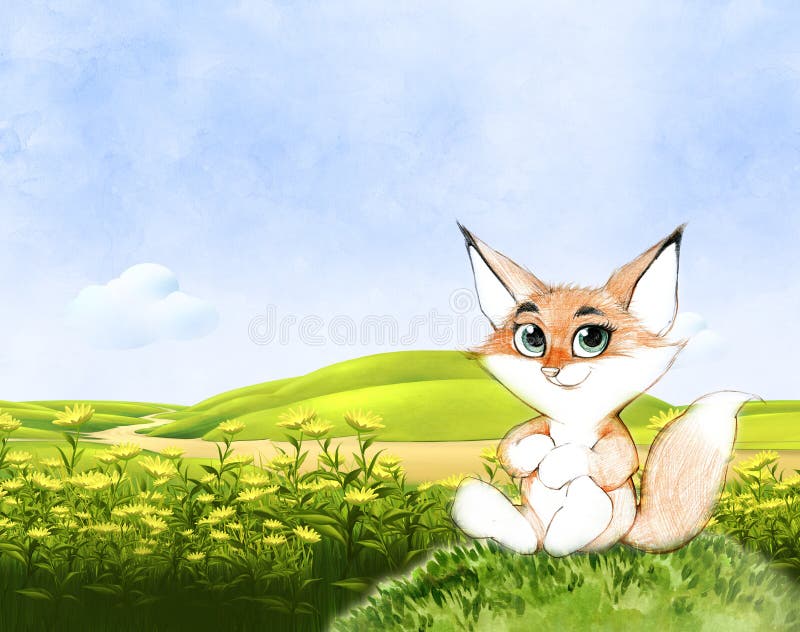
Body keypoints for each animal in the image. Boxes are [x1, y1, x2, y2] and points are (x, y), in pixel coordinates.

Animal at [451, 224, 752, 556]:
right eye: (531, 338)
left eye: (591, 338)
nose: (550, 370)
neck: (573, 421)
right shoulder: (535, 425)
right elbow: (510, 449)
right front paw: (541, 449)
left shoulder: (617, 439)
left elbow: (612, 464)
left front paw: (554, 465)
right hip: (497, 508)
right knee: (505, 520)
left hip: (604, 521)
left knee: (587, 500)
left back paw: (565, 534)